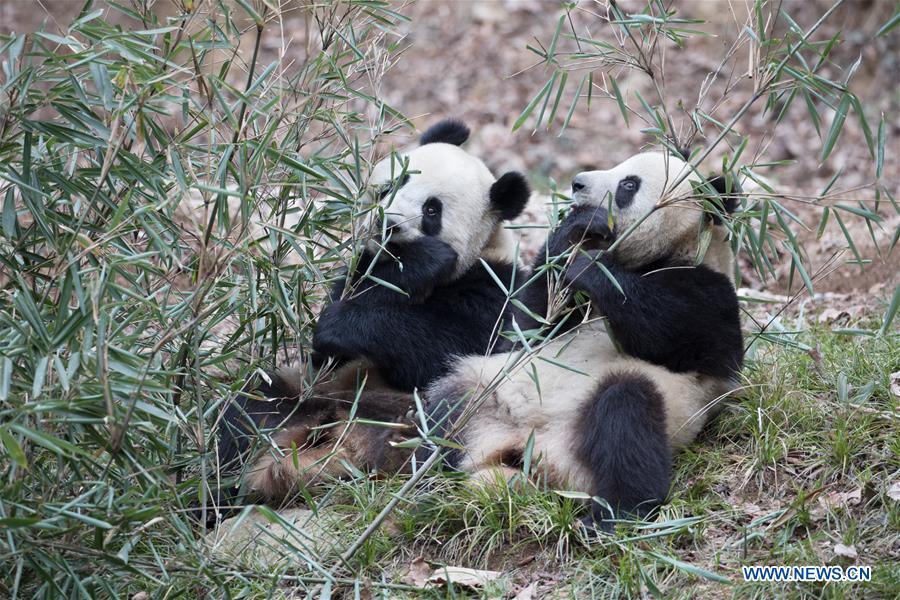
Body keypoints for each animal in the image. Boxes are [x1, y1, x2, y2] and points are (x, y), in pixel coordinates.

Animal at [214, 118, 532, 502]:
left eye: (432, 210)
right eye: (397, 181)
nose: (387, 222)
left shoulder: (497, 291)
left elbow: (439, 350)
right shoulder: (358, 272)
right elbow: (326, 351)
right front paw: (417, 264)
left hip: (412, 425)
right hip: (303, 392)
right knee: (249, 411)